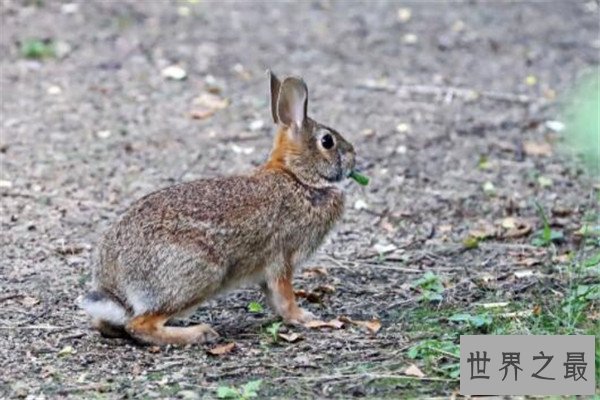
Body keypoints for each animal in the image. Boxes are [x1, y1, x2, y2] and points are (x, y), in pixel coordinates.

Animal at [82, 71, 358, 344]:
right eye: (327, 141)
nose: (353, 155)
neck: (298, 177)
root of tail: (116, 289)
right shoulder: (283, 259)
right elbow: (285, 298)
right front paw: (306, 318)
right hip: (202, 273)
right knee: (139, 325)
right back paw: (199, 333)